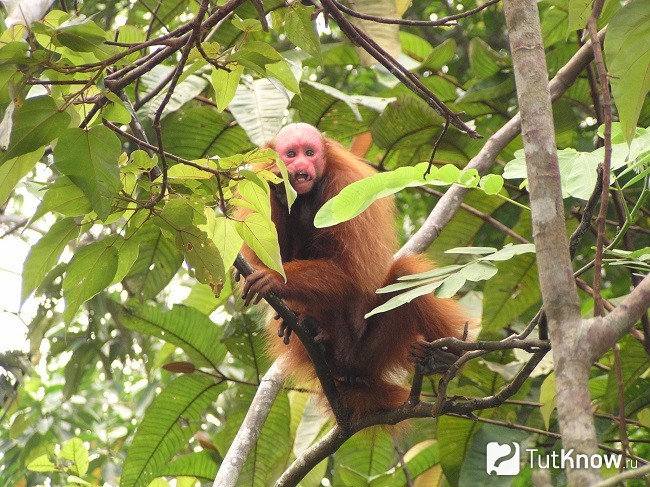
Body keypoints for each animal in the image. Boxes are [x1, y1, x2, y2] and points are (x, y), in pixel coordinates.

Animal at [236, 123, 469, 416]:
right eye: (291, 154)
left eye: (309, 153)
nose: (301, 165)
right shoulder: (258, 183)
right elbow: (265, 254)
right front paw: (279, 188)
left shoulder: (346, 188)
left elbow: (351, 272)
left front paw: (275, 278)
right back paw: (310, 328)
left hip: (370, 352)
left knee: (406, 277)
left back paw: (443, 358)